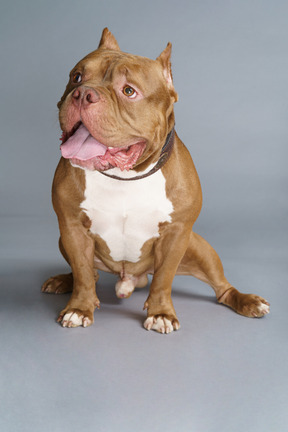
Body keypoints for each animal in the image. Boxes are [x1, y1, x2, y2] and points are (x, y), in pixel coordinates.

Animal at [41, 27, 270, 332]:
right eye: (76, 77)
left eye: (129, 91)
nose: (83, 93)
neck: (125, 177)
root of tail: (130, 279)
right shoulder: (71, 228)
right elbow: (82, 273)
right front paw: (79, 308)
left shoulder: (176, 234)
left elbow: (163, 279)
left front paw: (161, 313)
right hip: (62, 240)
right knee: (91, 274)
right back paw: (62, 281)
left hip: (200, 248)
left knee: (221, 288)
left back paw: (246, 301)